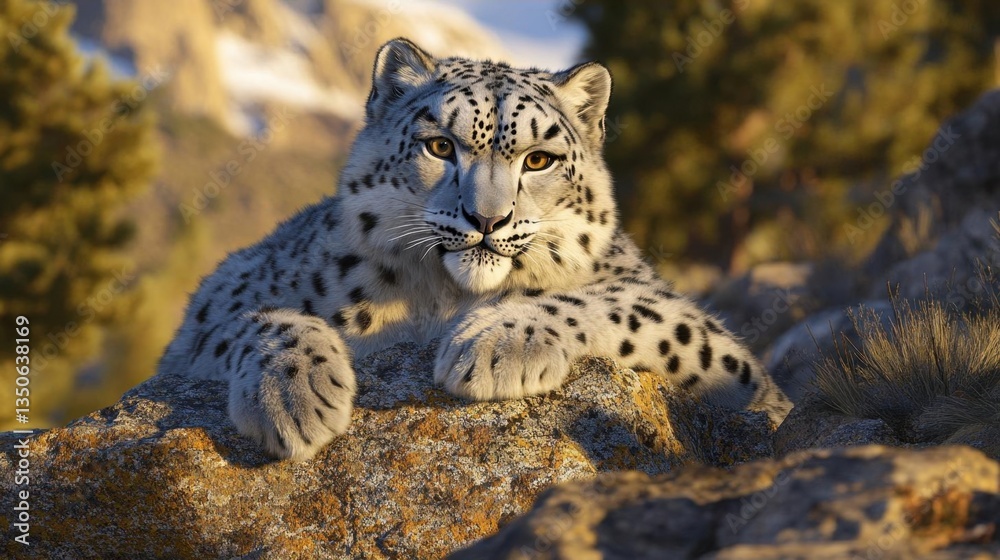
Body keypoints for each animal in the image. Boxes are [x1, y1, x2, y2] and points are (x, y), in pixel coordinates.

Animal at [158, 38, 793, 461]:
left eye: (538, 158)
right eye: (440, 146)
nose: (488, 218)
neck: (440, 301)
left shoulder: (731, 364)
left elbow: (614, 302)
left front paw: (493, 345)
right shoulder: (220, 299)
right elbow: (255, 319)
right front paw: (296, 397)